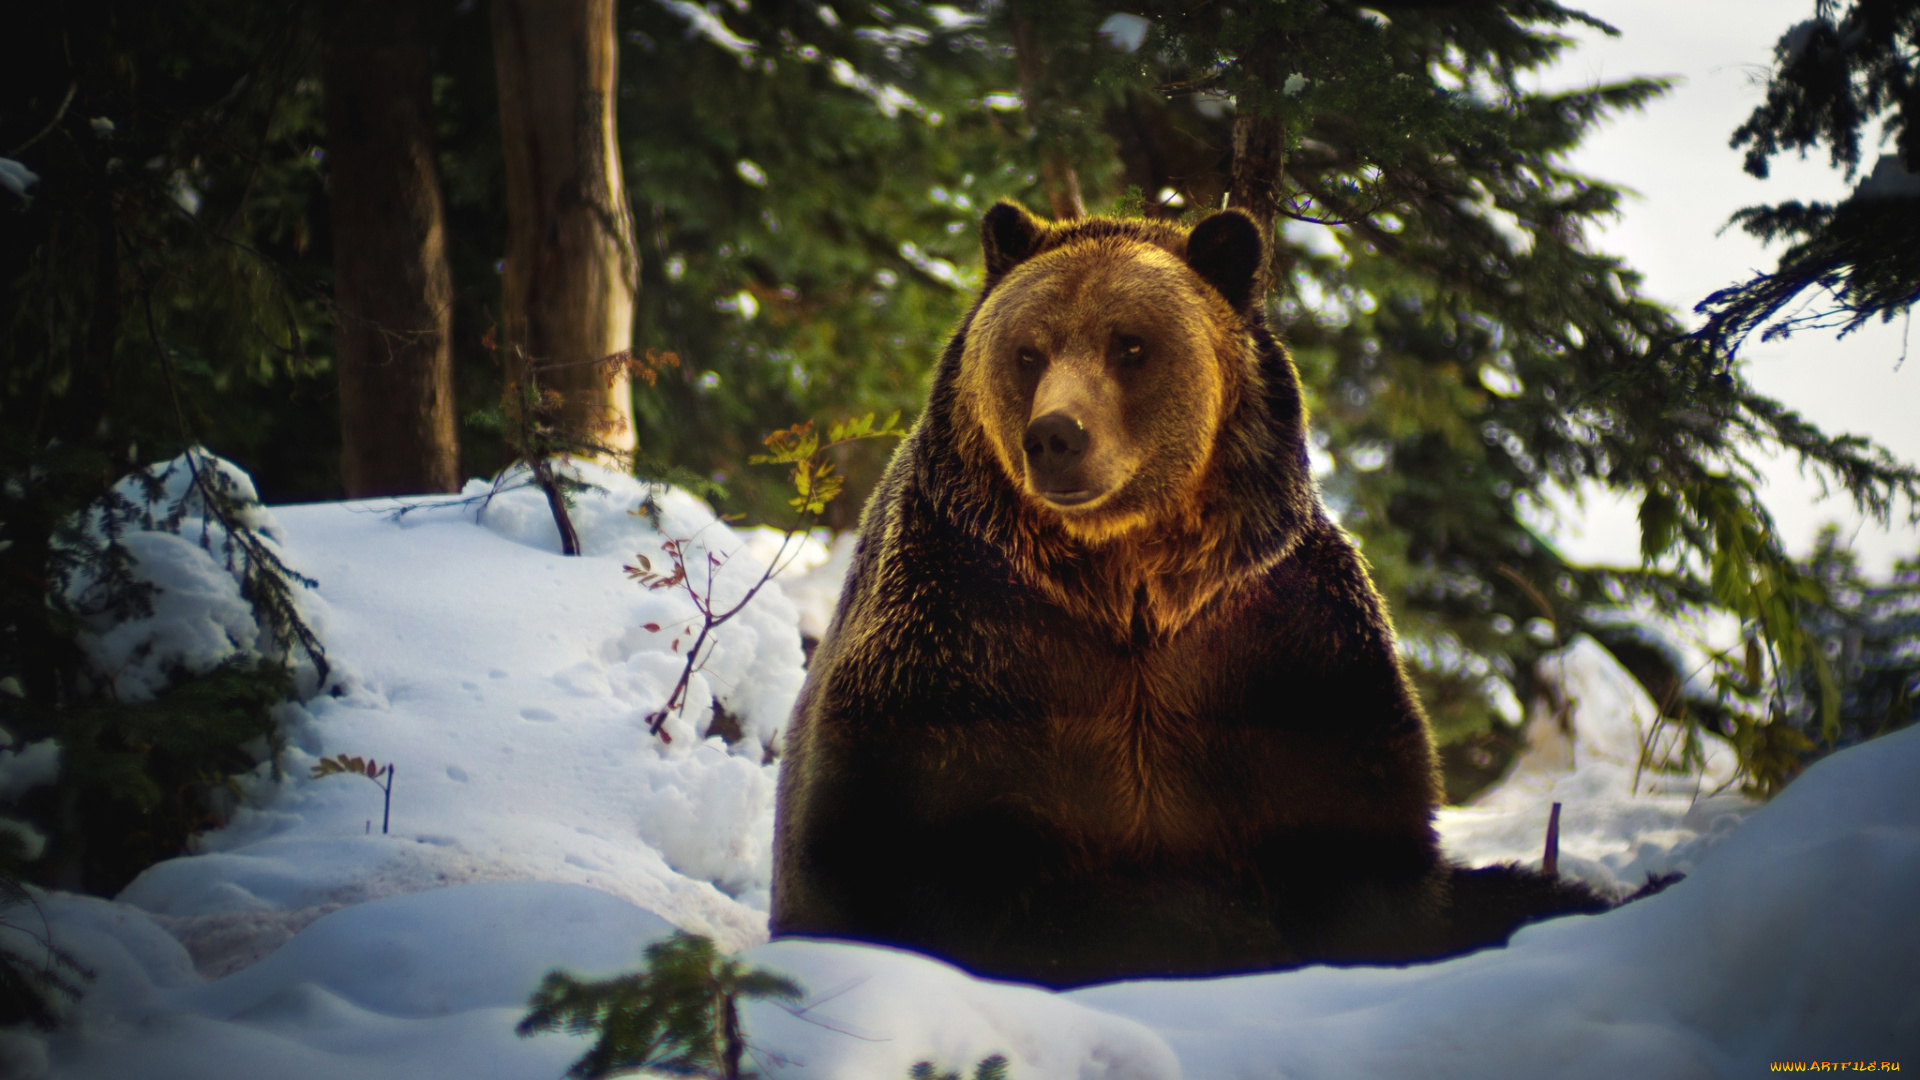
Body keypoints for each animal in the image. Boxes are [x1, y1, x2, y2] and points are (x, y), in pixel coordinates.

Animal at [764, 199, 1605, 983]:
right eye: (1027, 350)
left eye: (1130, 344)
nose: (1056, 436)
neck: (1127, 582)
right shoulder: (963, 631)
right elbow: (895, 841)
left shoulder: (1279, 641)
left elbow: (1361, 838)